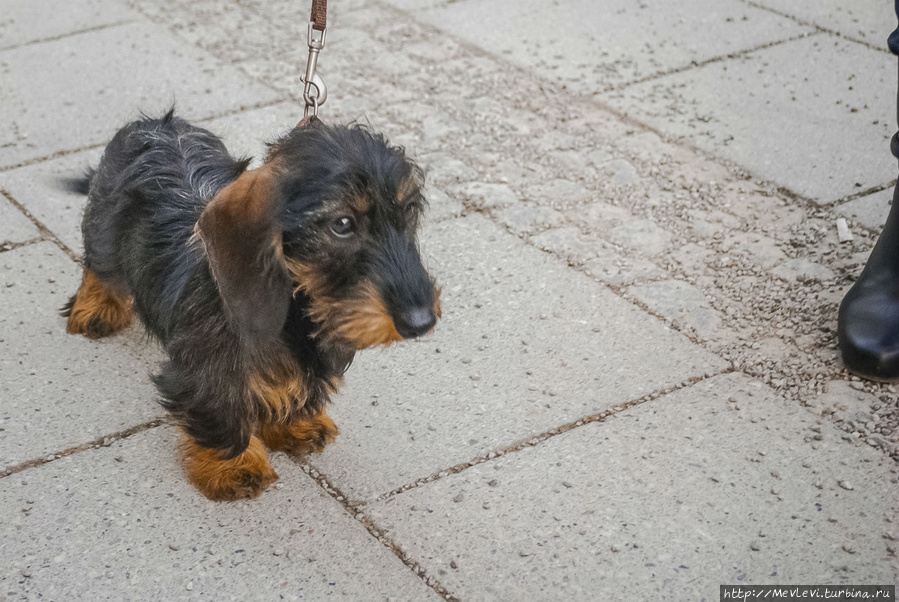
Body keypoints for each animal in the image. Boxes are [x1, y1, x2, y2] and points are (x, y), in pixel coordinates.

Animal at [61, 110, 442, 500]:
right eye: (343, 224)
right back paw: (96, 309)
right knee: (99, 267)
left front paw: (293, 425)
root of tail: (154, 123)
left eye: (408, 212)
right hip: (103, 230)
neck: (299, 306)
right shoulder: (210, 366)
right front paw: (234, 467)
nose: (421, 322)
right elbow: (220, 407)